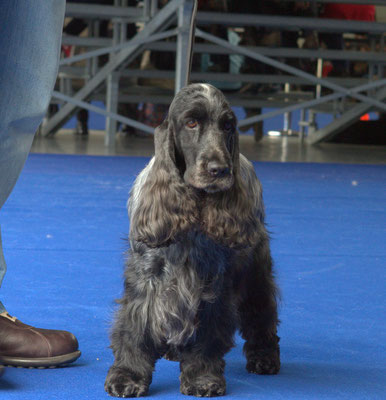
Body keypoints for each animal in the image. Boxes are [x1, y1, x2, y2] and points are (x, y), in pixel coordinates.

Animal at [105, 83, 280, 396]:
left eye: (228, 125)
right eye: (191, 123)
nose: (220, 169)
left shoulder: (213, 286)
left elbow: (208, 337)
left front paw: (202, 378)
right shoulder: (145, 279)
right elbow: (135, 330)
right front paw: (128, 376)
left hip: (255, 272)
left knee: (262, 315)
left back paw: (265, 358)